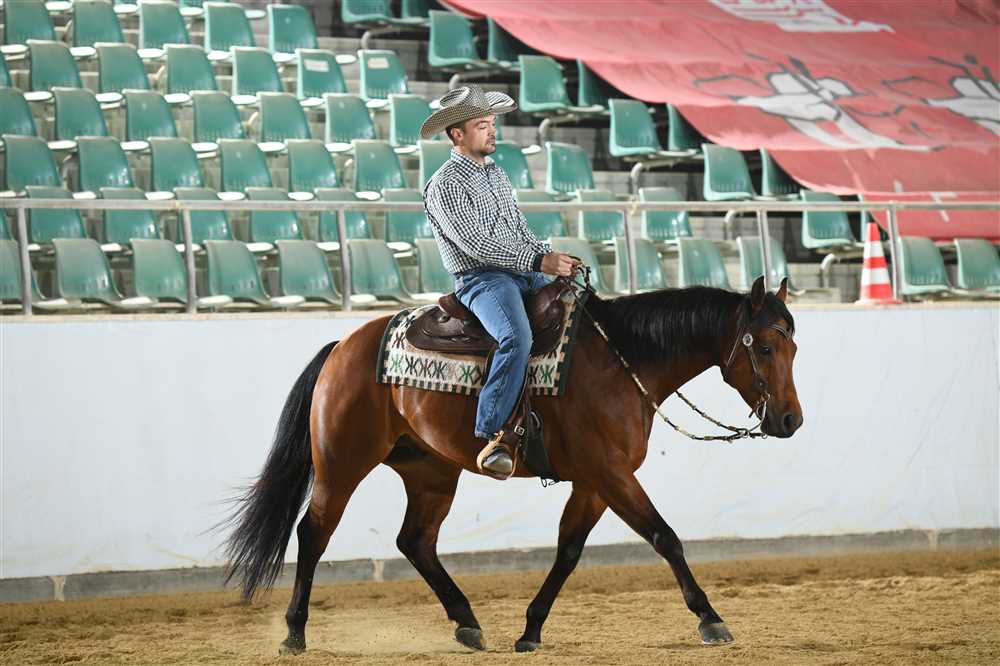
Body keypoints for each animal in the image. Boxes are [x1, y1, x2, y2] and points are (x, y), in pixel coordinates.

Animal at [222, 274, 802, 654]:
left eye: (793, 347)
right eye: (765, 347)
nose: (791, 420)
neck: (623, 361)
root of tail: (343, 345)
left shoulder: (593, 483)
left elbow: (568, 552)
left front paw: (530, 630)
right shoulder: (613, 474)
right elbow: (666, 537)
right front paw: (711, 619)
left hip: (432, 471)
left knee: (415, 541)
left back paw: (467, 623)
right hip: (343, 461)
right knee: (314, 532)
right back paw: (294, 632)